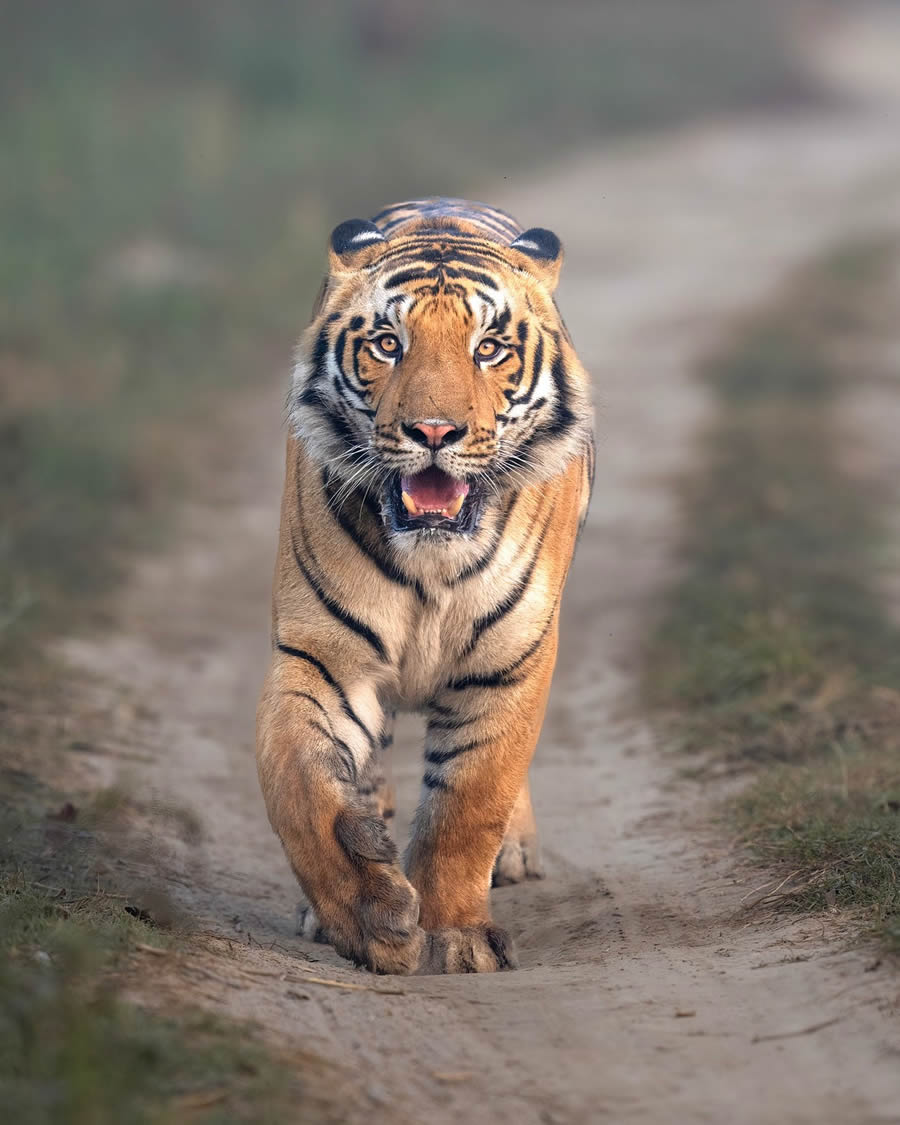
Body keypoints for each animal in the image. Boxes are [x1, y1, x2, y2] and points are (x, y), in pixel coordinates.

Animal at [256, 198, 594, 972]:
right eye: (387, 344)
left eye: (489, 349)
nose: (434, 431)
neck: (430, 564)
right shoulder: (322, 655)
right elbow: (295, 781)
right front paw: (371, 913)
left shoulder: (511, 662)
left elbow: (469, 804)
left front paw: (453, 936)